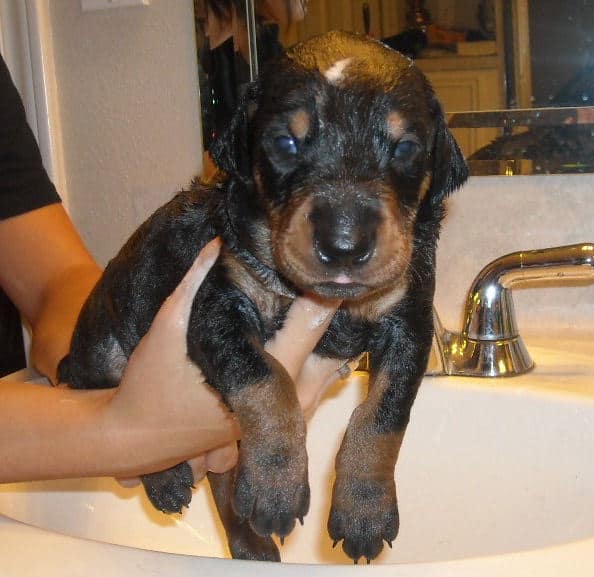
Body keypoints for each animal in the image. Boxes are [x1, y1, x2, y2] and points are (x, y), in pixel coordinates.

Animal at [59, 31, 468, 564]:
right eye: (285, 142)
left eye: (405, 147)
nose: (344, 244)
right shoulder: (215, 301)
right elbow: (265, 377)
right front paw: (276, 486)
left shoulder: (409, 321)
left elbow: (384, 413)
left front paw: (364, 510)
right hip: (104, 345)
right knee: (120, 407)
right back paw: (168, 479)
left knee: (226, 488)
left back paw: (254, 547)